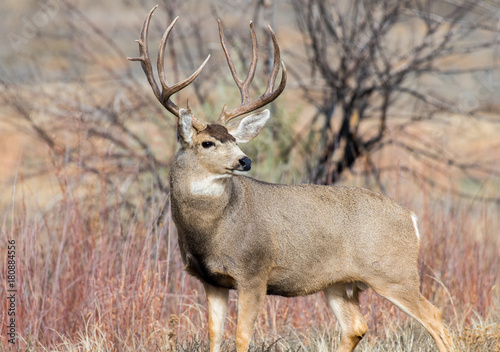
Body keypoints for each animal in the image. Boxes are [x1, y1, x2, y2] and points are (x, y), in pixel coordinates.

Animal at [128, 5, 454, 352]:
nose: (245, 160)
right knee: (357, 326)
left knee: (435, 317)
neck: (212, 229)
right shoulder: (210, 280)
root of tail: (411, 218)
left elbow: (241, 337)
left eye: (234, 138)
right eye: (208, 143)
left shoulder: (253, 272)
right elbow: (214, 337)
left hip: (394, 272)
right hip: (338, 282)